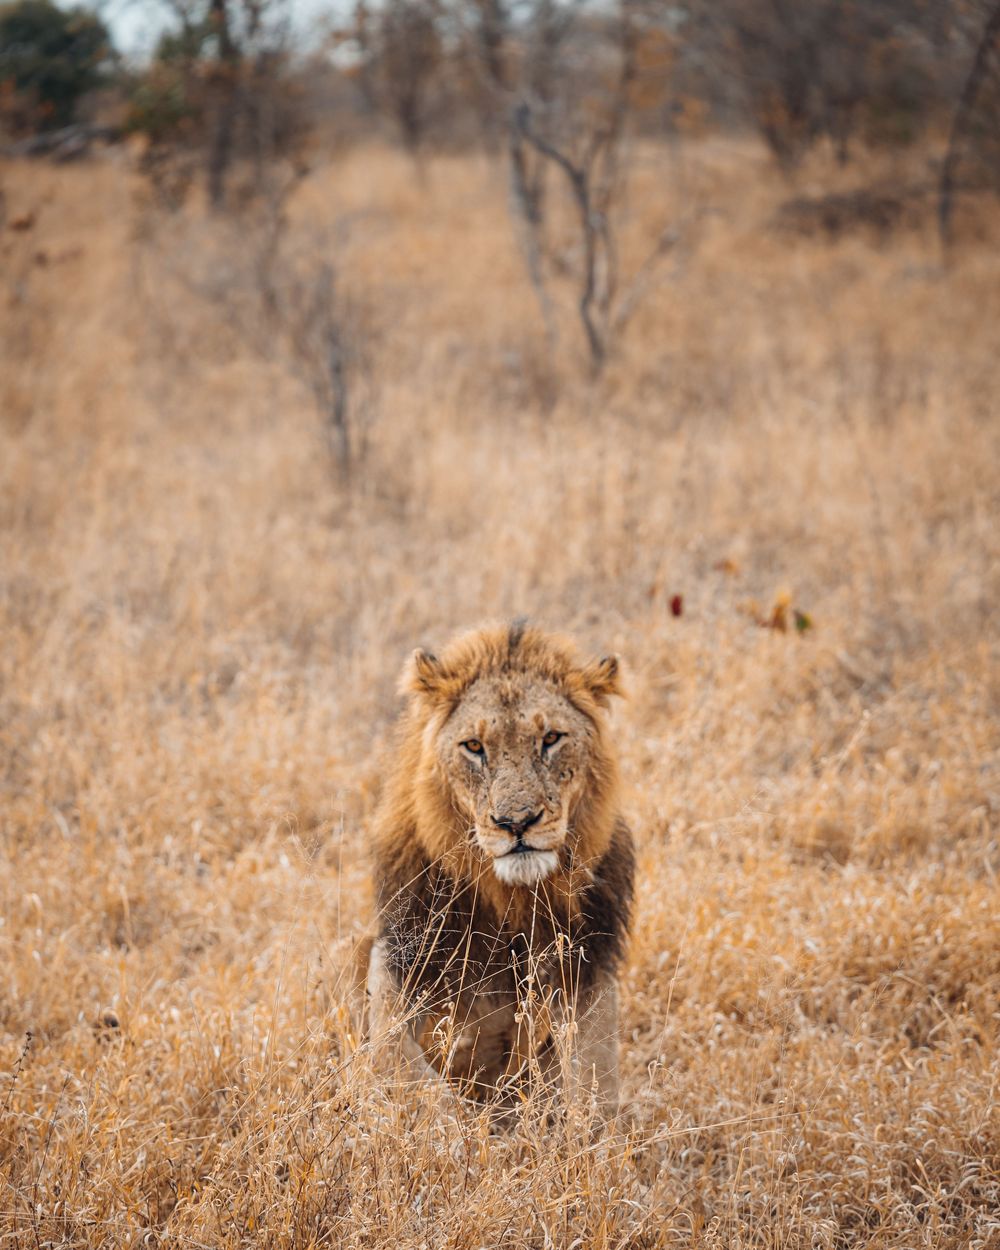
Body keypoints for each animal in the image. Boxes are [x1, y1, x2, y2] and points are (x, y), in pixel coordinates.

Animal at [367, 621, 634, 1116]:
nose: (517, 822)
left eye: (551, 739)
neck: (512, 895)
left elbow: (593, 1079)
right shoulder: (396, 954)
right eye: (474, 746)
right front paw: (459, 1128)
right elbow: (404, 1065)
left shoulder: (589, 969)